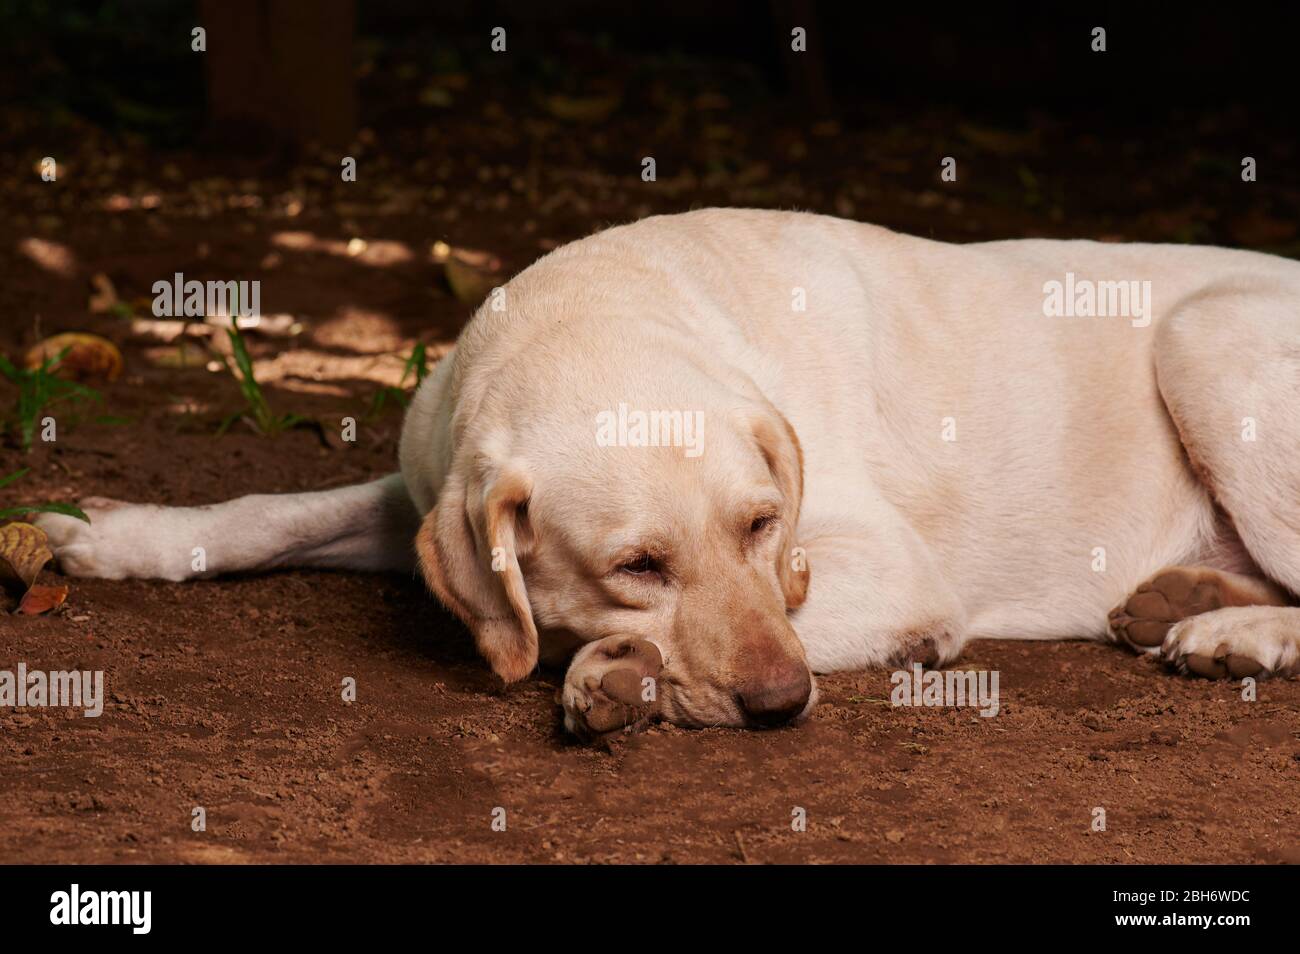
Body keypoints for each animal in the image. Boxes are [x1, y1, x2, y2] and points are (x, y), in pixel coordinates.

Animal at [38, 213, 1300, 743]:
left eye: (761, 527)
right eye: (638, 562)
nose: (784, 705)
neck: (592, 317)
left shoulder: (883, 571)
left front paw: (614, 670)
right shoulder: (428, 493)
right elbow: (269, 514)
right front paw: (111, 535)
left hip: (1206, 338)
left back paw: (1233, 634)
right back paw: (1184, 597)